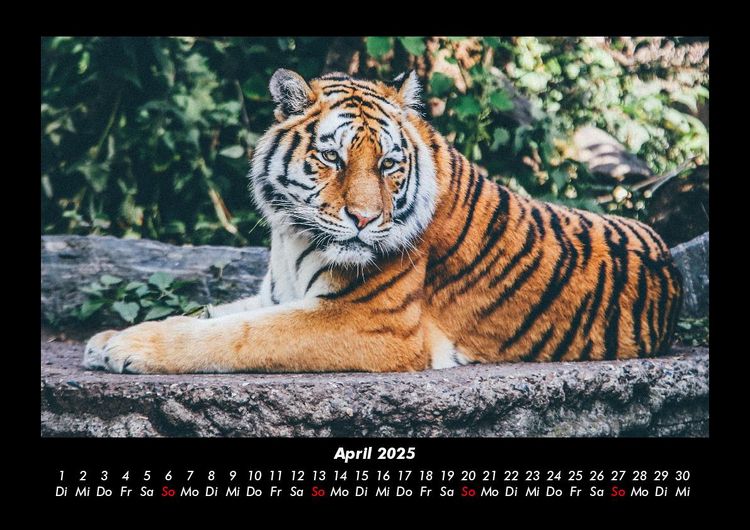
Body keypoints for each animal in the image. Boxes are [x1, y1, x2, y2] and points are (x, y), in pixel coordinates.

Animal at [83, 68, 683, 374]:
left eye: (390, 164)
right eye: (332, 158)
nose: (365, 219)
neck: (290, 236)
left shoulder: (369, 322)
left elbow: (237, 335)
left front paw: (128, 349)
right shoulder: (277, 294)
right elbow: (211, 313)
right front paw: (109, 337)